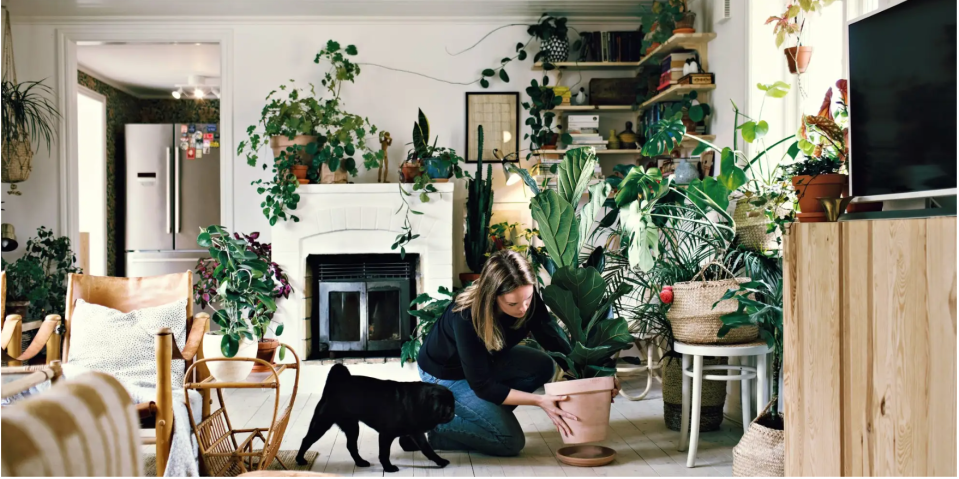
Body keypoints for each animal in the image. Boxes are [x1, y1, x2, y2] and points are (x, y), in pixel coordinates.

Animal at [294, 364, 456, 472]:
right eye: (445, 406)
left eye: (453, 405)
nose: (452, 412)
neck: (419, 403)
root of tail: (335, 383)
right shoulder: (386, 434)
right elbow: (384, 453)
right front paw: (388, 468)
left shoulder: (417, 433)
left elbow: (427, 449)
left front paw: (440, 461)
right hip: (322, 423)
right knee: (306, 440)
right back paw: (300, 459)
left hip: (352, 426)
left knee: (351, 445)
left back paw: (360, 462)